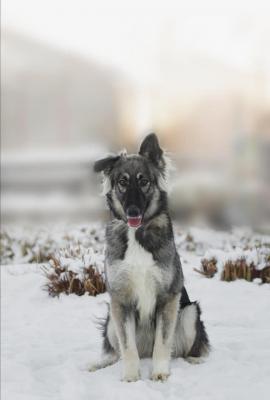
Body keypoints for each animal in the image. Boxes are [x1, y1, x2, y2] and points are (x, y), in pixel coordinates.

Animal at [90, 134, 209, 382]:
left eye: (144, 181)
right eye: (122, 182)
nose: (133, 211)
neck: (136, 234)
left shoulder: (168, 298)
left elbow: (163, 344)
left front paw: (160, 373)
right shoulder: (120, 300)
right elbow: (127, 347)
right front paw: (130, 376)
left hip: (189, 313)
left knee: (183, 350)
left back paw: (195, 360)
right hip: (111, 319)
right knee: (115, 352)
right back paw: (100, 363)